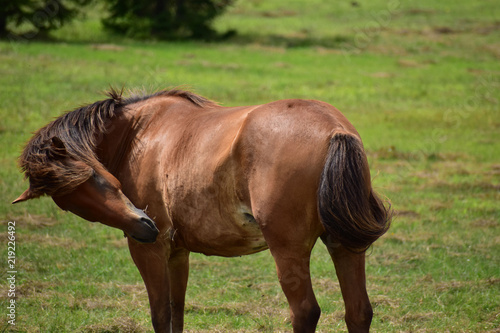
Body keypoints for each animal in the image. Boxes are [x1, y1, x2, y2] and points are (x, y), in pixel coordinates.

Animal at [13, 87, 392, 330]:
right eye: (70, 204)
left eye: (96, 177)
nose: (143, 226)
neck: (139, 132)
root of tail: (334, 129)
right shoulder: (177, 252)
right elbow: (176, 312)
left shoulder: (149, 251)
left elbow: (160, 315)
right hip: (344, 246)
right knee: (358, 312)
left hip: (289, 250)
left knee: (305, 312)